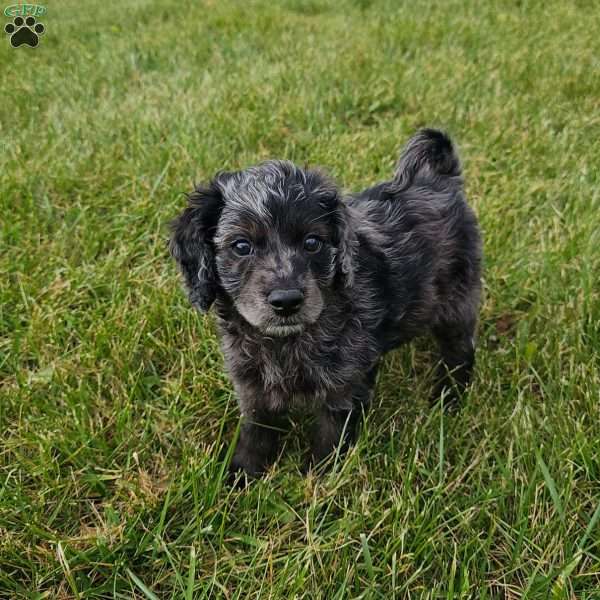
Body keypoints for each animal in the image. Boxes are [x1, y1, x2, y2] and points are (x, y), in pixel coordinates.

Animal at [170, 130, 482, 478]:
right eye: (241, 246)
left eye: (312, 242)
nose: (287, 301)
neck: (286, 342)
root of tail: (438, 179)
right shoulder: (250, 381)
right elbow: (256, 431)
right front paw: (240, 476)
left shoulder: (344, 386)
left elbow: (329, 435)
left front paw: (319, 478)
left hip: (456, 301)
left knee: (460, 352)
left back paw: (447, 399)